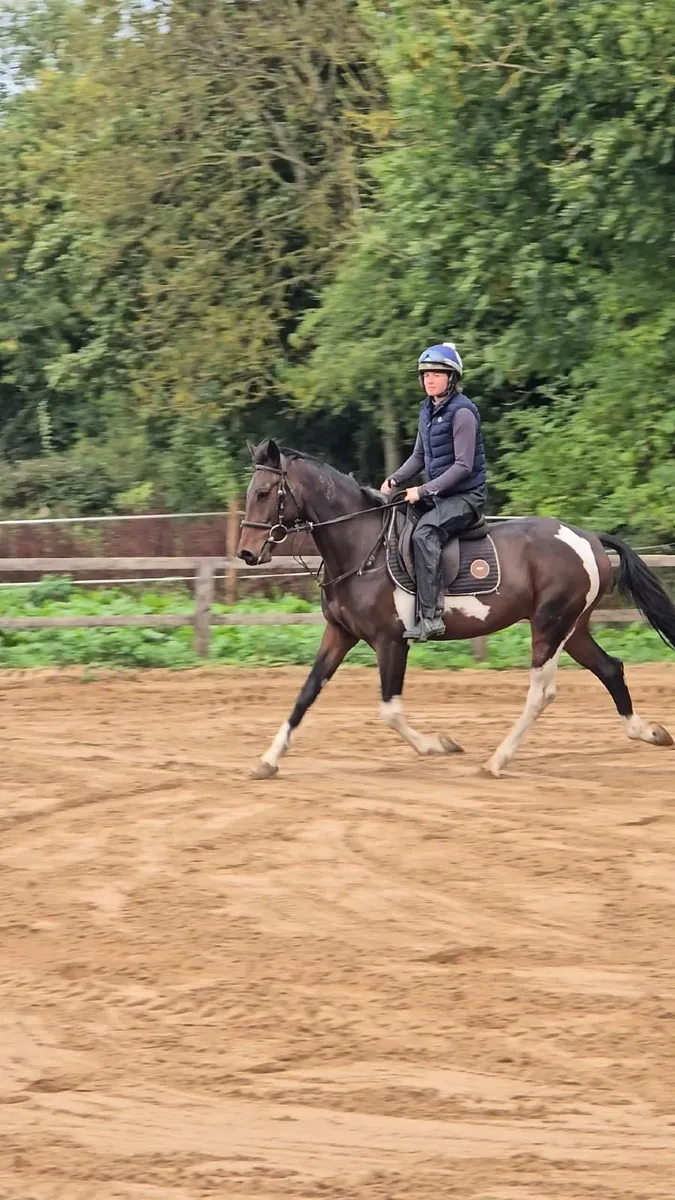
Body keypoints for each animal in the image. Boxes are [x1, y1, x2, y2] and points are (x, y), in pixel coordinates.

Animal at [237, 436, 675, 779]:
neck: (363, 548)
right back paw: (648, 732)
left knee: (542, 693)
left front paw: (439, 745)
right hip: (573, 628)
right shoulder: (340, 634)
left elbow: (390, 711)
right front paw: (268, 760)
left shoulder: (391, 642)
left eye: (263, 493)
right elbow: (307, 693)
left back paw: (497, 761)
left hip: (550, 627)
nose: (246, 553)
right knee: (610, 668)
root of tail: (587, 537)